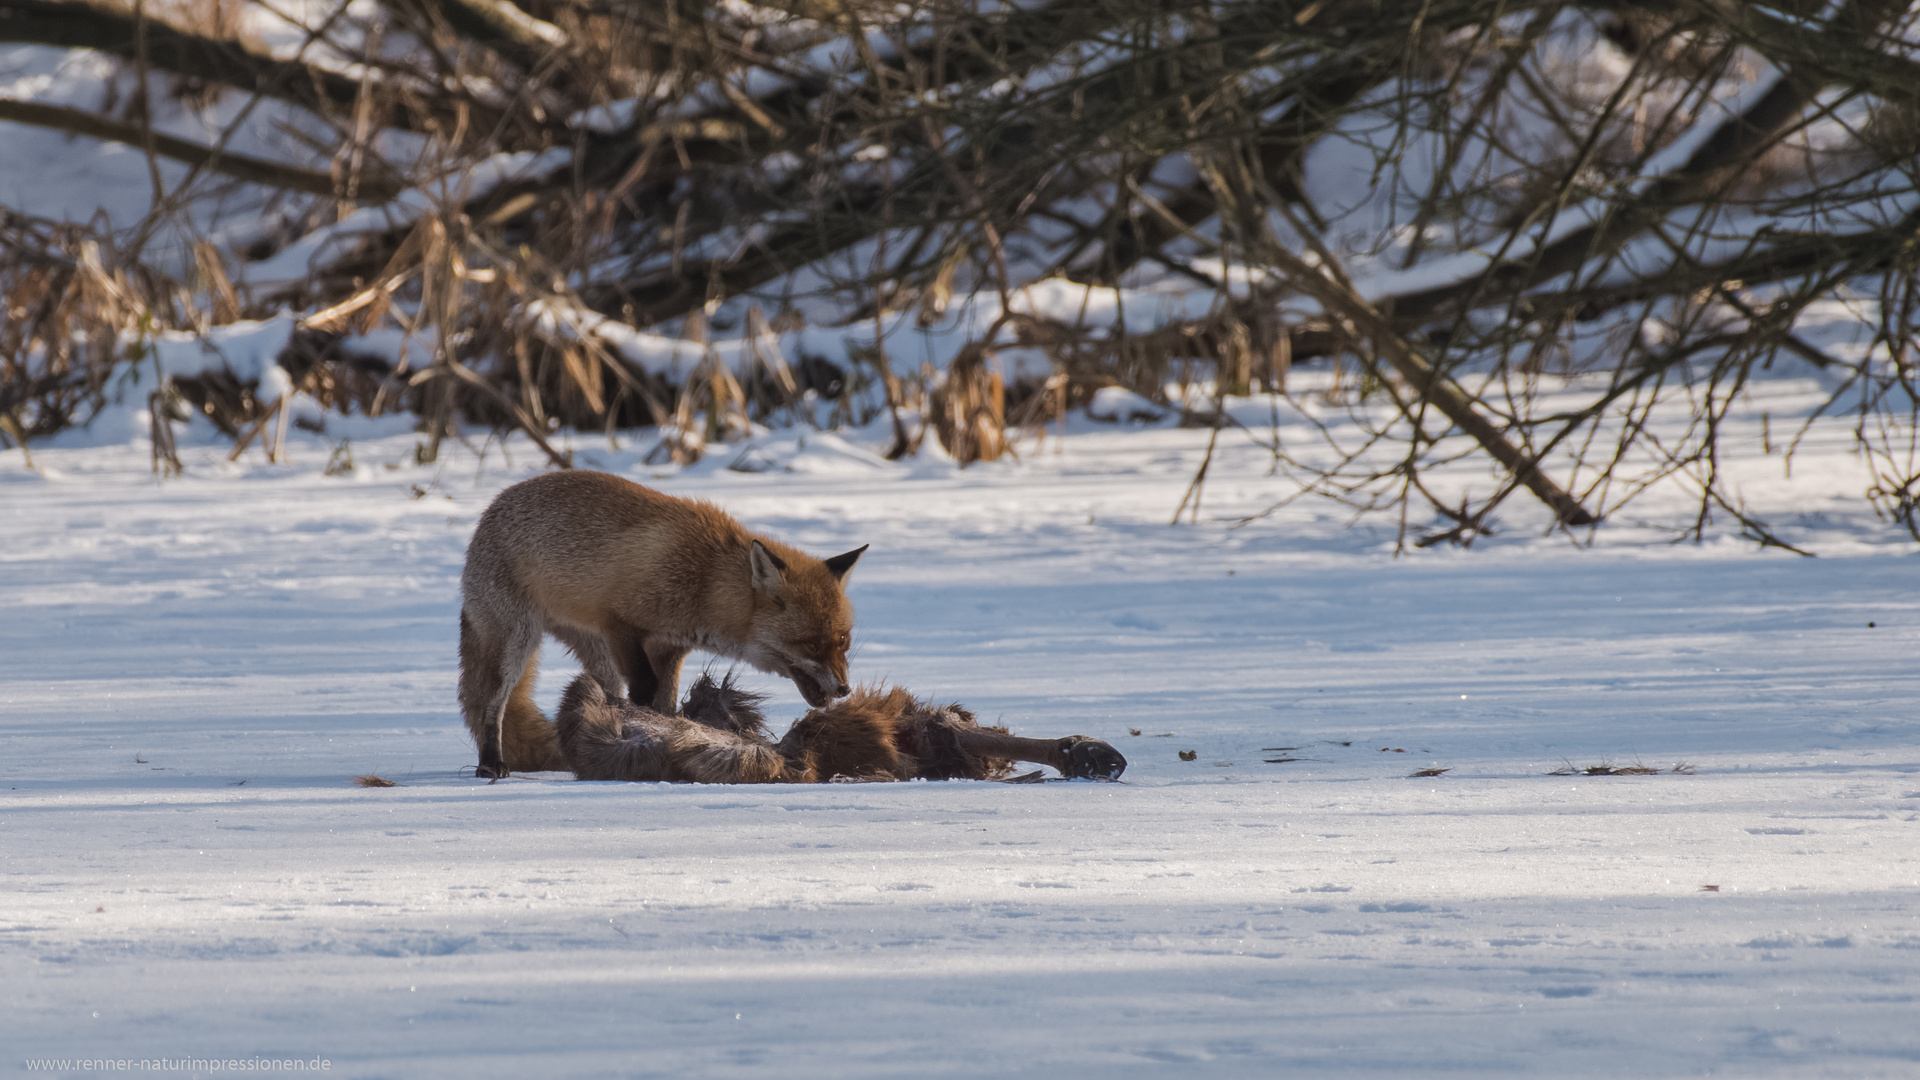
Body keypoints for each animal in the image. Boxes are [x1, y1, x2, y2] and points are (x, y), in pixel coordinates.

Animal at [456, 468, 864, 772]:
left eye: (843, 640)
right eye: (810, 644)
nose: (844, 689)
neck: (704, 582)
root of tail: (491, 509)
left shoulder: (669, 648)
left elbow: (664, 705)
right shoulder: (621, 626)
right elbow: (645, 690)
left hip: (597, 656)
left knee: (600, 696)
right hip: (517, 642)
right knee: (493, 702)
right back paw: (491, 763)